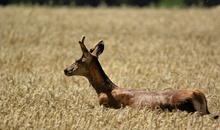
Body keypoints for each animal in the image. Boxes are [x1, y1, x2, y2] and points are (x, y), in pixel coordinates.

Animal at [63, 35, 218, 119]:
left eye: (79, 60)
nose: (66, 70)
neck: (104, 90)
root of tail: (199, 94)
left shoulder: (106, 105)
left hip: (185, 107)